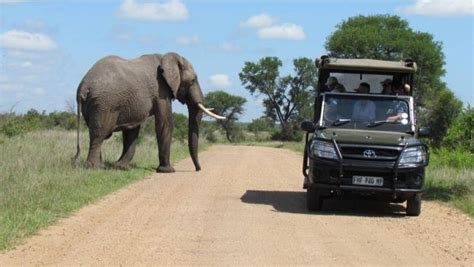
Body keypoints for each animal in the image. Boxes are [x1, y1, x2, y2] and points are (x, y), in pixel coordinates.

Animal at [74, 52, 226, 174]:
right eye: (193, 80)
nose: (198, 169)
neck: (167, 58)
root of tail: (83, 87)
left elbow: (132, 131)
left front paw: (121, 167)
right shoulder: (160, 90)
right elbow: (165, 123)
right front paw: (168, 171)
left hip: (95, 104)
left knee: (95, 133)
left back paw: (100, 166)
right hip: (104, 104)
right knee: (99, 134)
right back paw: (94, 167)